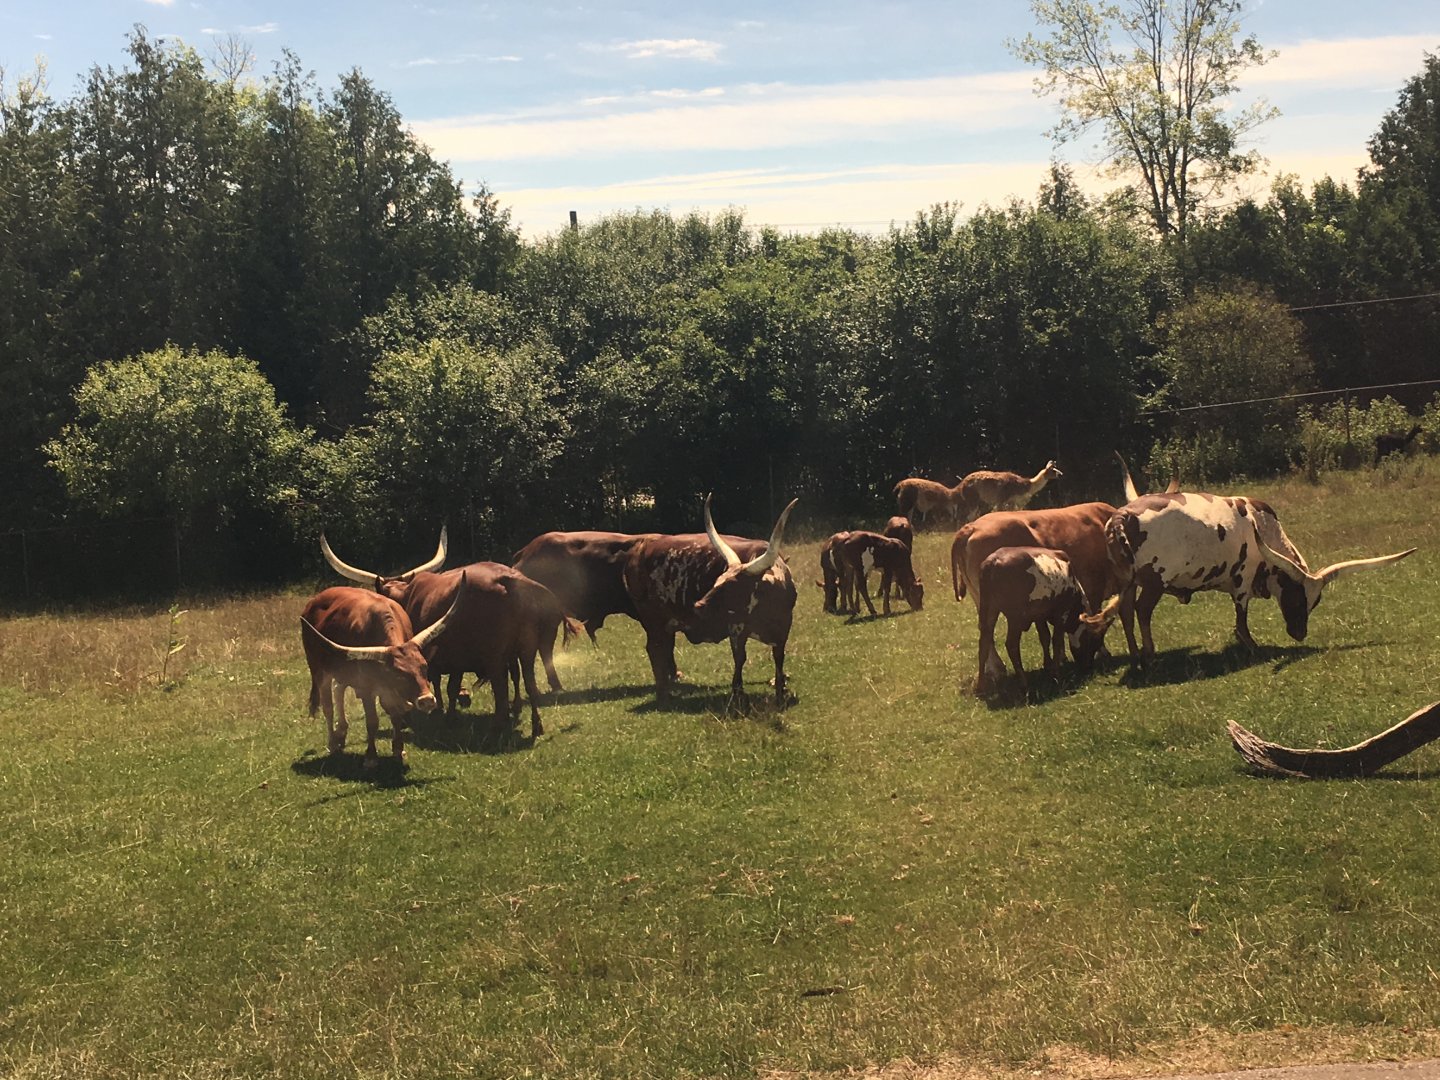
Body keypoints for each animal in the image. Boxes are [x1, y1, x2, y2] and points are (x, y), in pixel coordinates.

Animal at [300, 584, 458, 766]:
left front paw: (398, 749)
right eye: (399, 674)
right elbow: (372, 721)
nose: (427, 700)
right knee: (328, 707)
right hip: (319, 670)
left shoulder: (388, 690)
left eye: (425, 667)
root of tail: (313, 602)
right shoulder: (366, 688)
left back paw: (342, 731)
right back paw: (332, 742)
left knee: (338, 690)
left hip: (343, 671)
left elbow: (396, 716)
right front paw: (371, 757)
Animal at [320, 531, 575, 737]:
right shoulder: (454, 657)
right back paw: (535, 725)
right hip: (526, 649)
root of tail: (510, 579)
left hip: (495, 656)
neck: (407, 596)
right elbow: (450, 685)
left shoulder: (440, 656)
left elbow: (441, 682)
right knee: (529, 682)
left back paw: (497, 726)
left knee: (500, 688)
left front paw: (443, 713)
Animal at [624, 496, 798, 708]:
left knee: (664, 648)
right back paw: (663, 694)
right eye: (717, 580)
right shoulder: (736, 628)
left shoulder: (783, 631)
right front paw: (738, 695)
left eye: (732, 586)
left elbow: (779, 658)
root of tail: (639, 549)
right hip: (653, 621)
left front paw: (781, 691)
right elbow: (740, 658)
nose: (699, 605)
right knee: (655, 649)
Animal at [972, 547, 1116, 694]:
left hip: (988, 610)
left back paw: (981, 685)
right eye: (1093, 641)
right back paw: (1023, 682)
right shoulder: (1061, 613)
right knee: (1011, 644)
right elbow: (1056, 640)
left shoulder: (1039, 617)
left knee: (984, 643)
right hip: (1015, 618)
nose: (1088, 667)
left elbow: (1045, 638)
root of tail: (992, 562)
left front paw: (1048, 665)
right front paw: (1056, 673)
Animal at [1103, 491, 1416, 665]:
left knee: (1126, 612)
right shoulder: (1242, 579)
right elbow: (1241, 616)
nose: (1299, 634)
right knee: (1142, 611)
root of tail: (1123, 515)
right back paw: (1150, 655)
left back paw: (1136, 656)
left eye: (1314, 603)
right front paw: (1250, 645)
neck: (1263, 529)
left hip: (1127, 582)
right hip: (1155, 581)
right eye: (1295, 597)